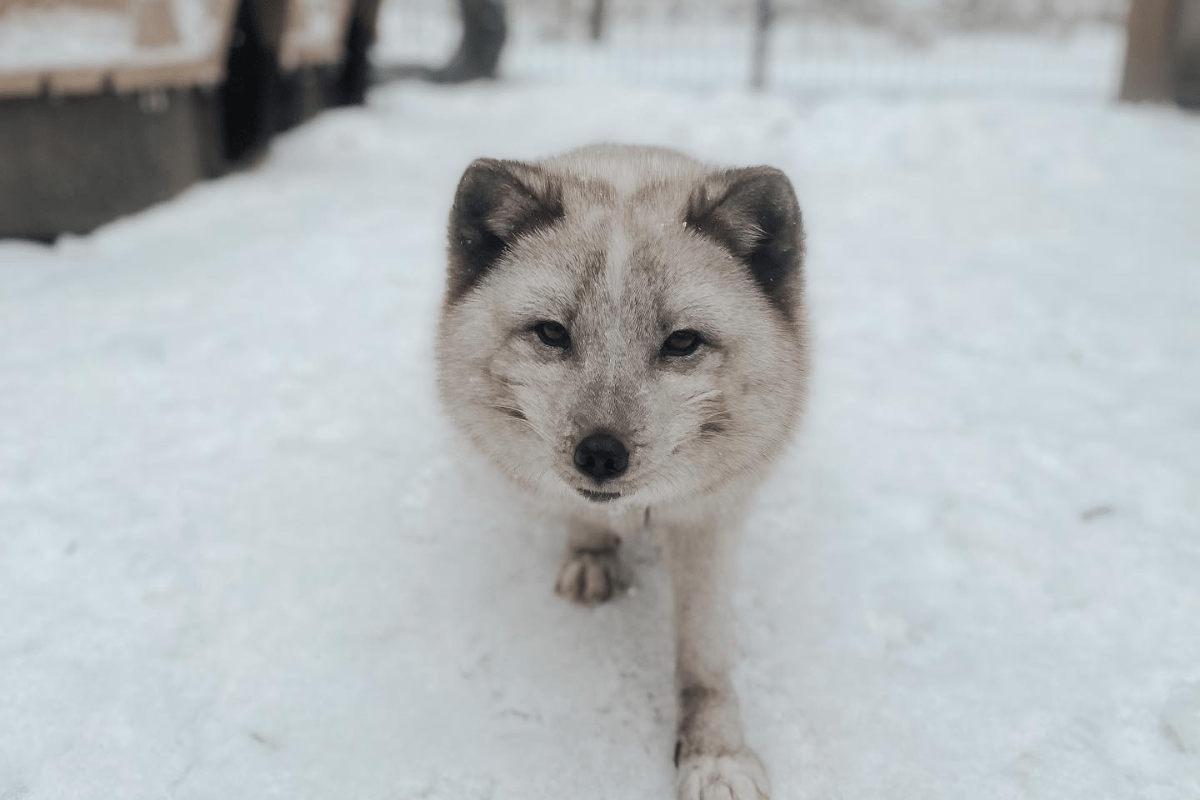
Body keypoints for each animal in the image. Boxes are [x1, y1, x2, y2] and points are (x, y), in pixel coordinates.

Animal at [434, 144, 808, 800]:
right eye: (551, 333)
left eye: (682, 342)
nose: (601, 455)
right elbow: (577, 515)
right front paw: (590, 553)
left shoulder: (709, 517)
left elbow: (704, 657)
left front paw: (716, 755)